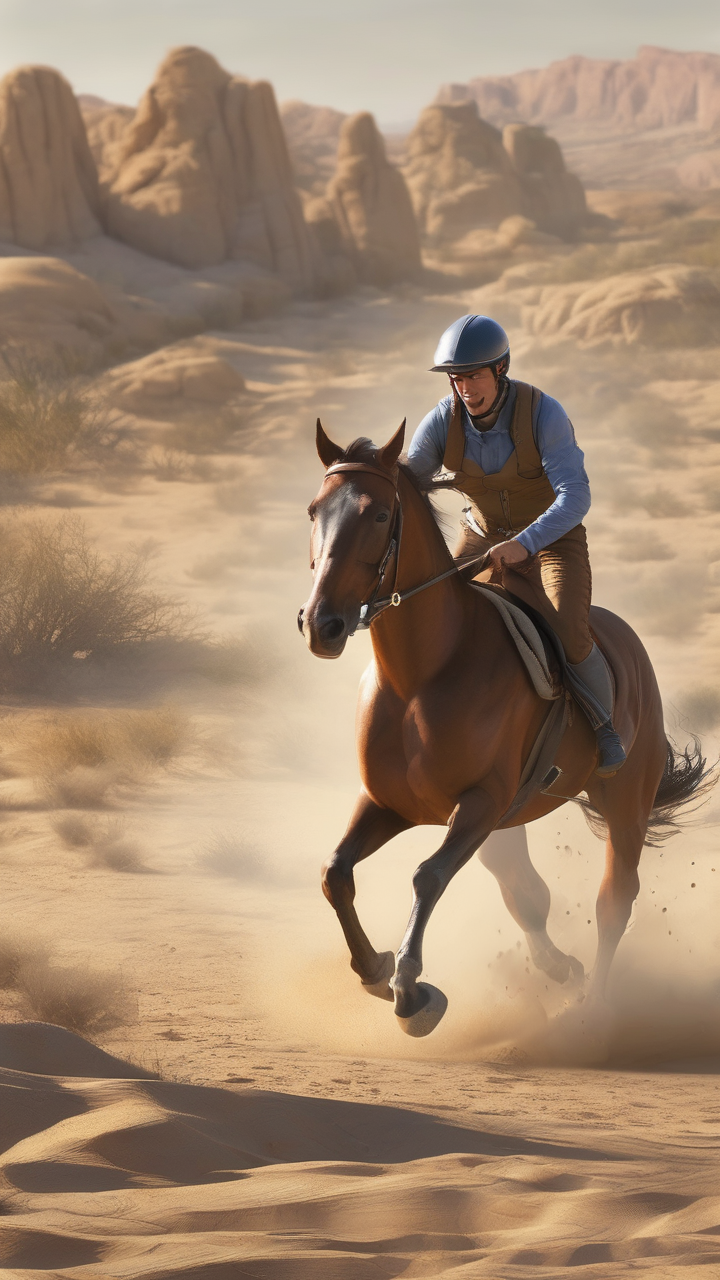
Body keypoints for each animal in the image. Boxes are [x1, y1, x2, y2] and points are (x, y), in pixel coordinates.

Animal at [298, 420, 712, 1037]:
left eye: (378, 515)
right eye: (313, 511)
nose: (321, 624)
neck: (421, 675)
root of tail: (629, 646)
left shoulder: (481, 803)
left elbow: (427, 875)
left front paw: (411, 992)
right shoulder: (390, 803)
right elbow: (335, 872)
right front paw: (374, 969)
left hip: (624, 801)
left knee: (614, 899)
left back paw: (592, 1011)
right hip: (511, 821)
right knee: (523, 889)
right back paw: (560, 969)